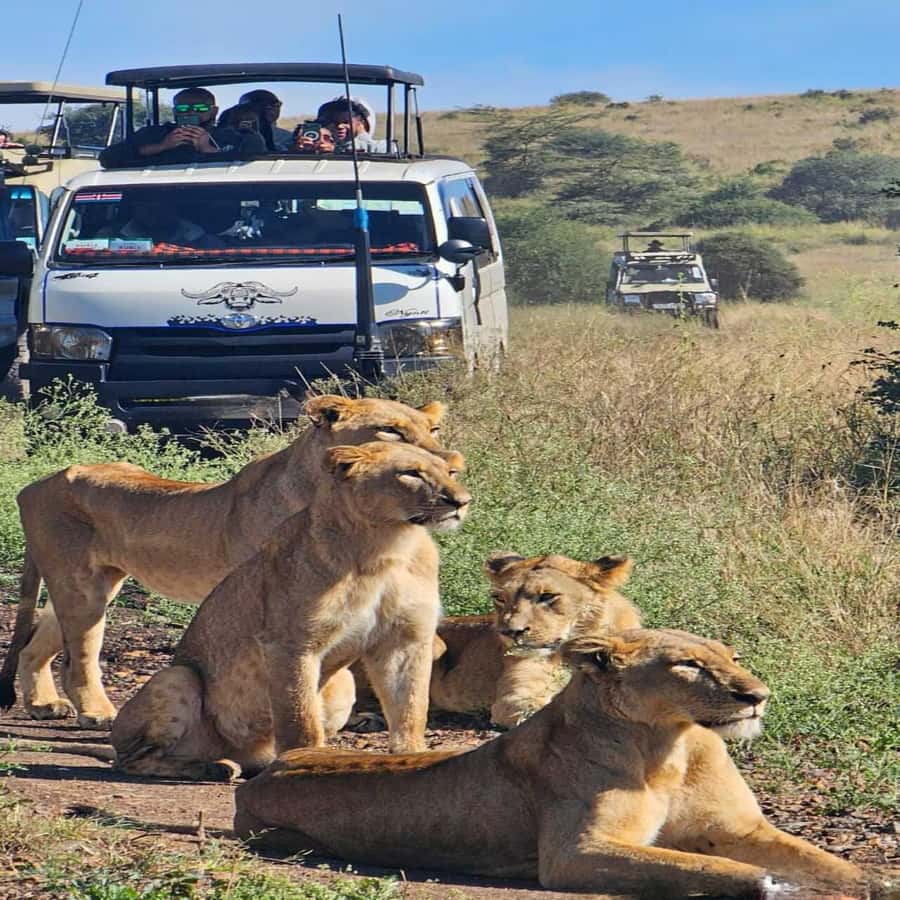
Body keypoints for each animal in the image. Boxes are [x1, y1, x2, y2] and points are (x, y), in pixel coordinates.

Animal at [0, 395, 460, 730]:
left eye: (433, 429)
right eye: (392, 431)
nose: (451, 462)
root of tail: (36, 483)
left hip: (90, 586)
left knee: (36, 642)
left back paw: (43, 704)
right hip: (81, 587)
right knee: (80, 656)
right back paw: (95, 711)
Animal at [111, 441, 471, 781]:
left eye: (451, 473)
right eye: (410, 473)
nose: (462, 501)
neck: (388, 546)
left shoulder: (404, 639)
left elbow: (411, 707)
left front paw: (411, 757)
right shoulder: (291, 644)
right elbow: (300, 719)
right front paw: (305, 762)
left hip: (343, 687)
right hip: (176, 678)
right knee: (134, 760)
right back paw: (215, 767)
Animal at [235, 628, 867, 897]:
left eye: (731, 656)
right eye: (687, 664)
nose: (757, 695)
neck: (670, 744)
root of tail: (266, 773)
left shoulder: (740, 827)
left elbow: (832, 864)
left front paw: (870, 882)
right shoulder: (574, 855)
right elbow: (707, 868)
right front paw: (774, 884)